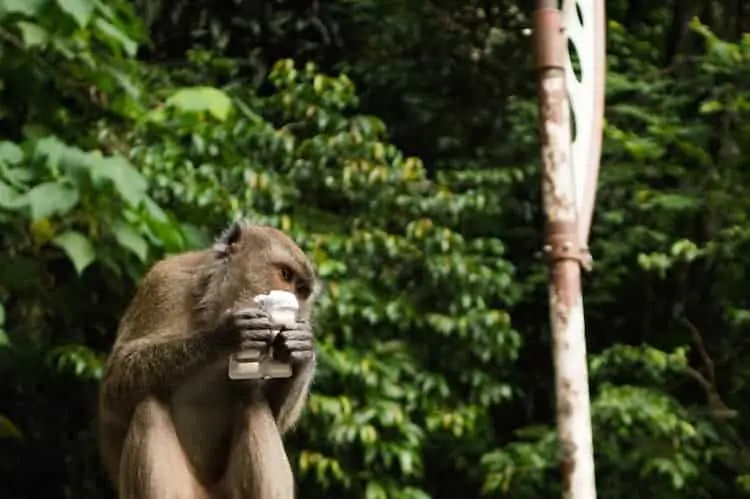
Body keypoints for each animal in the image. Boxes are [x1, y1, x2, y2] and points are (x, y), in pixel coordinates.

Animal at [95, 221, 318, 499]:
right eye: (286, 275)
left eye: (302, 290)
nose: (296, 305)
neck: (210, 305)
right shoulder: (163, 283)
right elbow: (114, 387)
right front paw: (225, 335)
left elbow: (276, 416)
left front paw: (300, 348)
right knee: (148, 406)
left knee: (253, 402)